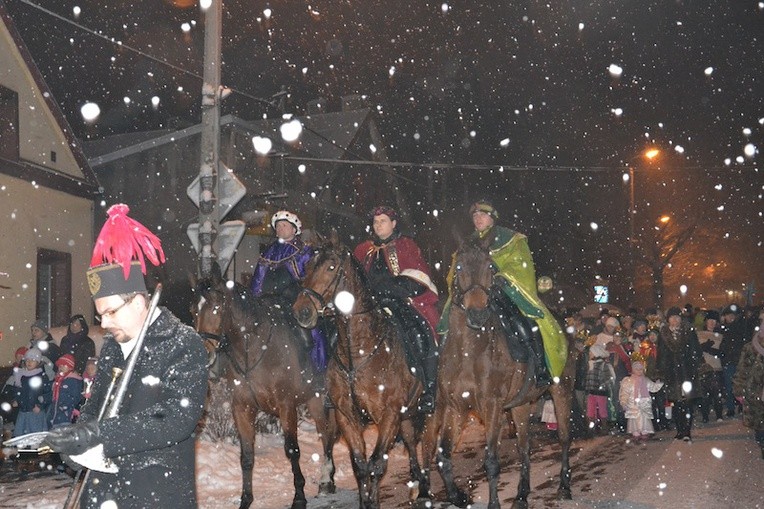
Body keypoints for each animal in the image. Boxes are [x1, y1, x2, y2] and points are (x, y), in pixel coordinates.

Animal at [194, 268, 338, 506]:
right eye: (193, 309)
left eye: (216, 306)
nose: (205, 354)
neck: (253, 350)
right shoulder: (242, 408)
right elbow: (246, 456)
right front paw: (245, 499)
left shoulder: (286, 406)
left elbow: (292, 450)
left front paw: (299, 496)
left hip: (316, 399)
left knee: (326, 434)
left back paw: (326, 480)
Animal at [292, 232, 426, 508]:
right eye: (307, 267)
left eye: (331, 267)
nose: (302, 311)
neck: (359, 352)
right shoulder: (346, 415)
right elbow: (361, 465)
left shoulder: (389, 414)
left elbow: (376, 463)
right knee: (409, 439)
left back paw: (423, 486)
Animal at [418, 238, 572, 508]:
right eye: (458, 268)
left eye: (490, 267)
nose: (477, 314)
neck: (469, 351)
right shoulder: (456, 407)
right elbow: (443, 456)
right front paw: (459, 496)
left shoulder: (492, 406)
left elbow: (491, 460)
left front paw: (492, 503)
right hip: (520, 404)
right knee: (524, 446)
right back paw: (521, 495)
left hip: (560, 389)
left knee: (563, 437)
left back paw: (564, 486)